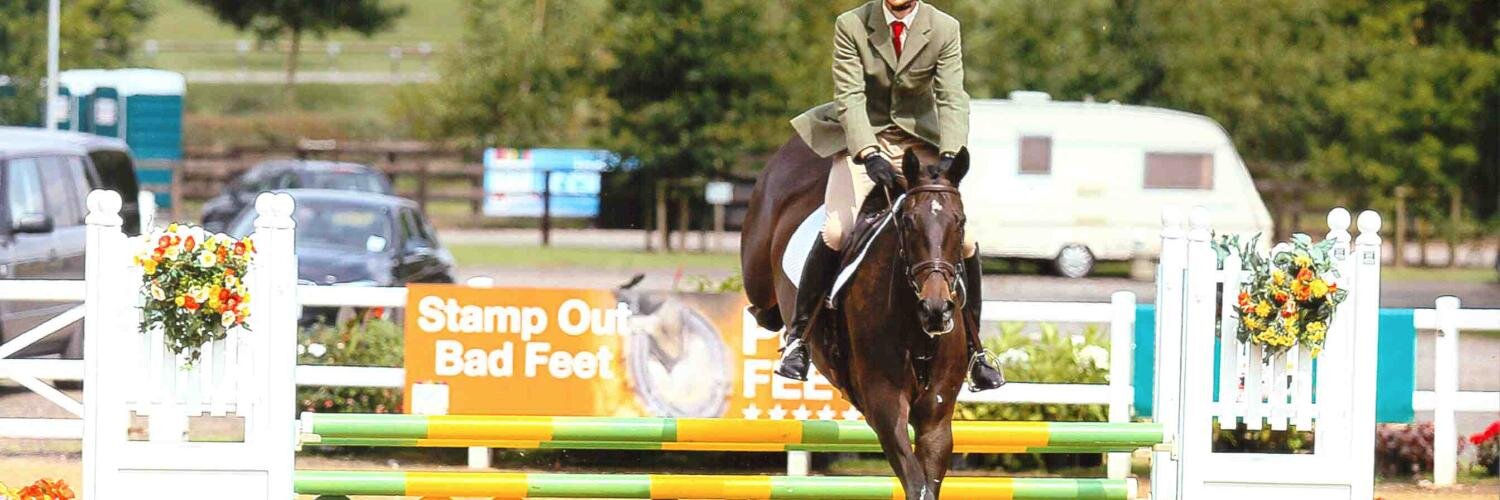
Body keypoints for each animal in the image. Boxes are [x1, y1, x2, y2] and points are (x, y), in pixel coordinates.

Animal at [741, 136, 972, 500]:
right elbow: (916, 482)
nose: (936, 310)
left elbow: (927, 481)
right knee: (763, 306)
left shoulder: (936, 415)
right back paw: (789, 344)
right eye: (908, 223)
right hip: (758, 271)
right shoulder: (884, 406)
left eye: (960, 222)